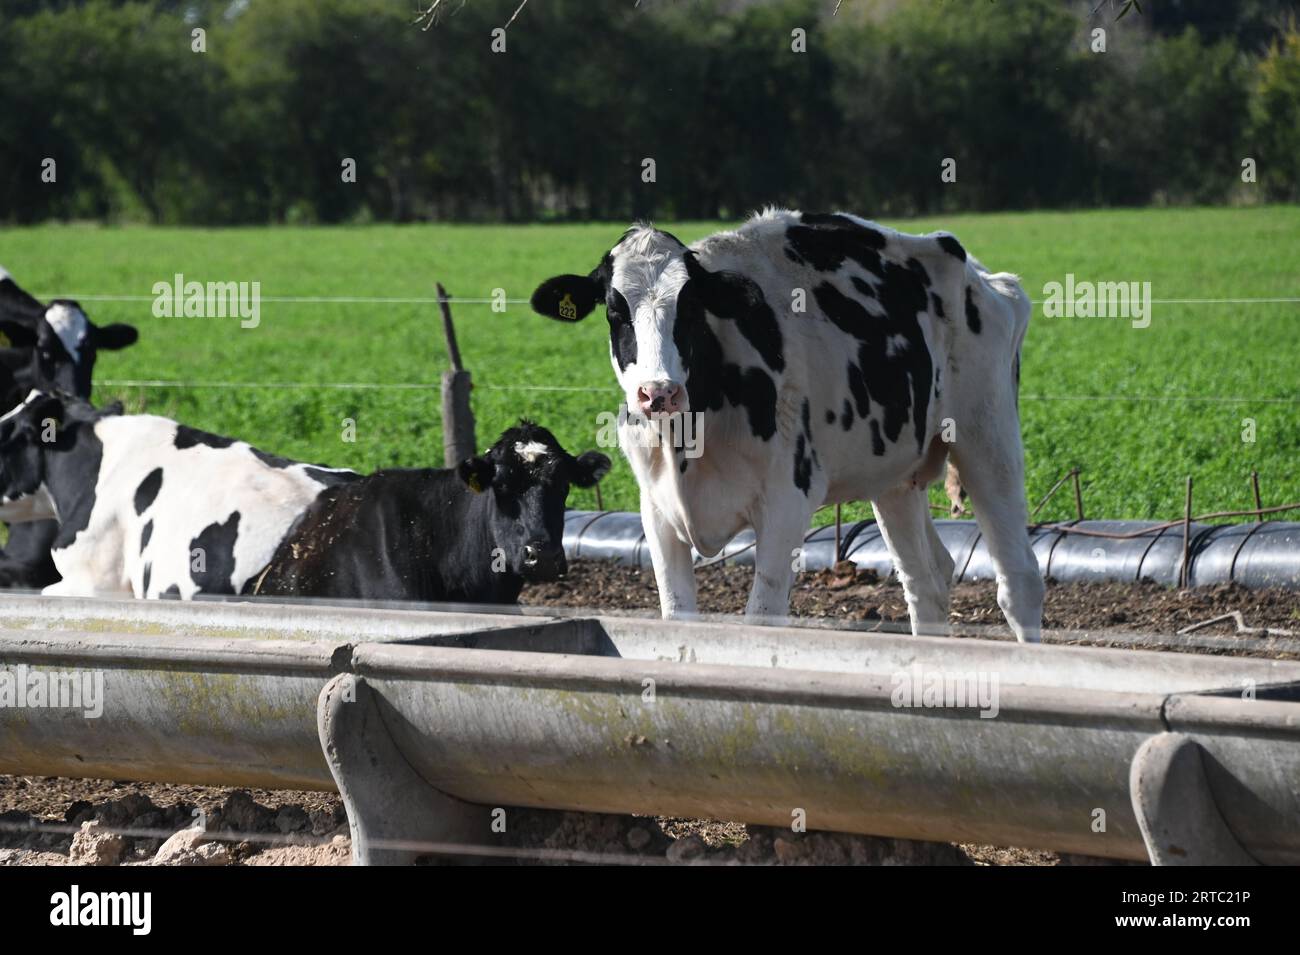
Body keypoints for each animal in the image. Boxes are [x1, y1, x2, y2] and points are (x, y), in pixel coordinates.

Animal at [527, 209, 1045, 641]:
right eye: (615, 312)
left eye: (690, 308)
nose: (658, 393)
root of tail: (981, 274)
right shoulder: (656, 511)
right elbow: (676, 615)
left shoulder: (786, 503)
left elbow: (761, 617)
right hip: (894, 473)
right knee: (926, 579)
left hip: (988, 439)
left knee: (1019, 581)